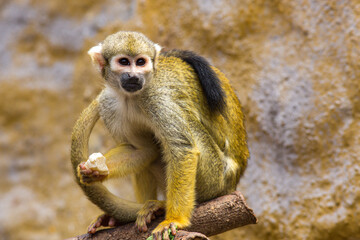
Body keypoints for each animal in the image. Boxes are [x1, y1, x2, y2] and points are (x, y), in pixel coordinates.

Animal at [70, 31, 250, 240]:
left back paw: (162, 206)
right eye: (124, 62)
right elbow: (141, 149)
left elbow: (182, 149)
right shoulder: (108, 103)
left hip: (216, 177)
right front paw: (93, 171)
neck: (131, 97)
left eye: (141, 62)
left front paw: (175, 220)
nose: (134, 76)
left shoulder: (158, 100)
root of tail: (233, 183)